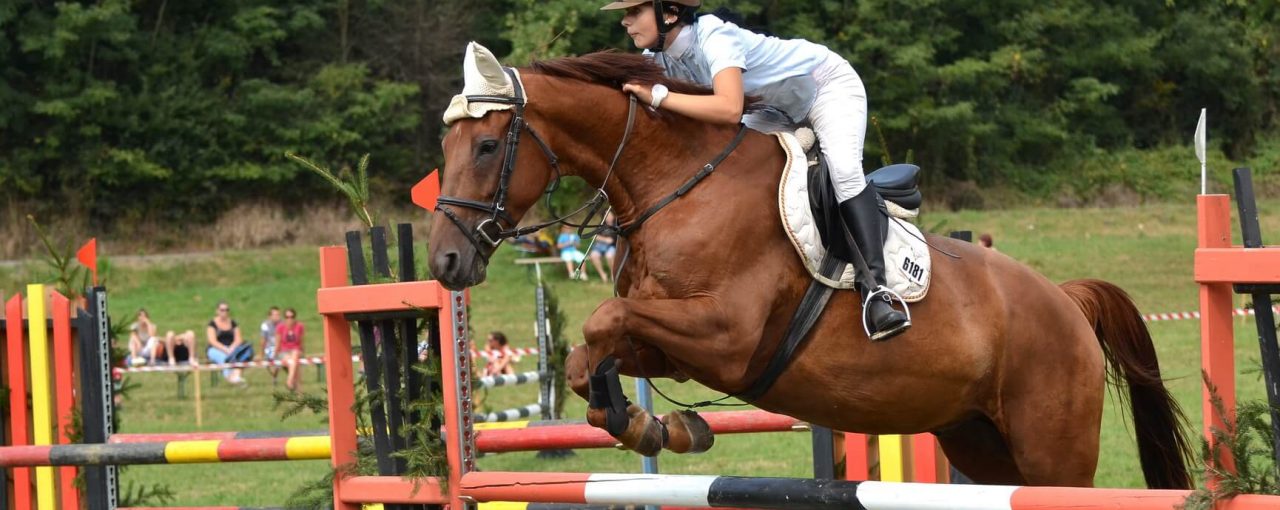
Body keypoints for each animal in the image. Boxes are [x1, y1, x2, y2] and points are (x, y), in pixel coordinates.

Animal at [428, 44, 1192, 489]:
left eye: (489, 145)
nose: (445, 260)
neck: (677, 181)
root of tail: (1067, 302)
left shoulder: (728, 339)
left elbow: (603, 320)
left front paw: (654, 425)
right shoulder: (674, 345)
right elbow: (592, 356)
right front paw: (657, 427)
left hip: (1052, 449)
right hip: (978, 440)